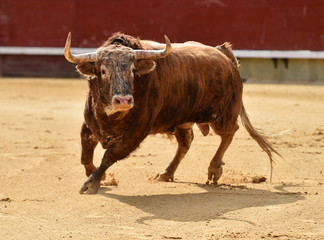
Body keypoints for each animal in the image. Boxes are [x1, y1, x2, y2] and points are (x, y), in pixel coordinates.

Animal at [64, 31, 280, 194]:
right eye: (102, 71)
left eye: (133, 69)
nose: (124, 100)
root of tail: (224, 55)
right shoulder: (90, 125)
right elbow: (85, 155)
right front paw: (98, 176)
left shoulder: (136, 133)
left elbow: (109, 155)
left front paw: (92, 183)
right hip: (183, 119)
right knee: (186, 142)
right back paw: (166, 173)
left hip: (223, 114)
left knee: (229, 132)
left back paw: (214, 169)